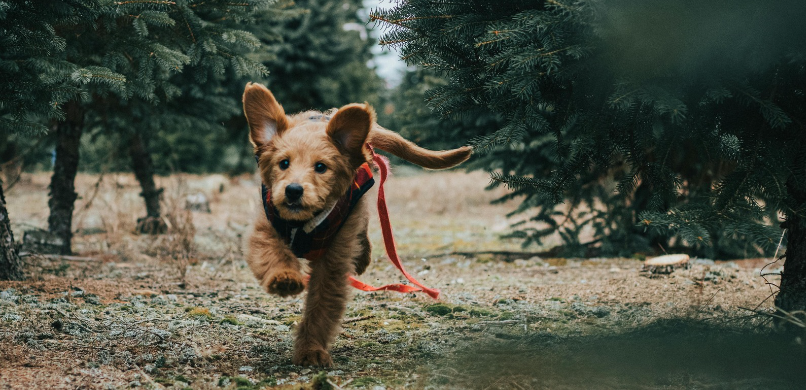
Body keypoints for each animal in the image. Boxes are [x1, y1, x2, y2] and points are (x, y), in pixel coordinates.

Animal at [240, 82, 474, 366]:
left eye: (321, 167)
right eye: (283, 163)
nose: (293, 191)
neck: (305, 222)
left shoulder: (333, 261)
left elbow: (320, 307)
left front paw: (311, 349)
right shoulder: (265, 227)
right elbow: (272, 254)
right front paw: (284, 278)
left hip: (356, 208)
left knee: (363, 228)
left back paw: (362, 257)